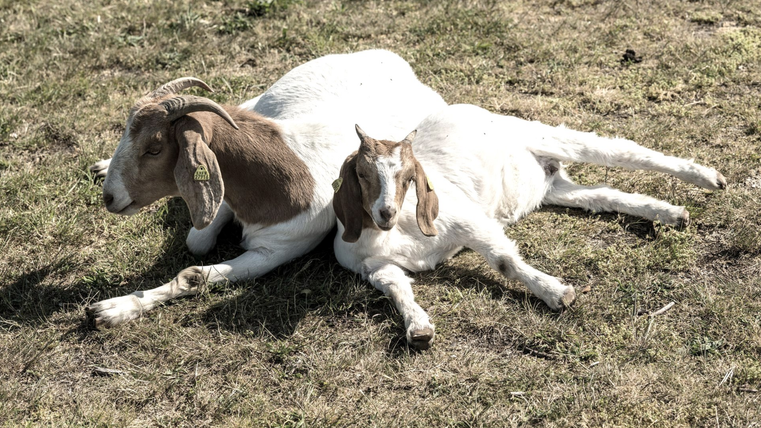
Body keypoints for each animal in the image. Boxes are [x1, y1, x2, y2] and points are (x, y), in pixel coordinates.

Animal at [86, 50, 446, 327]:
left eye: (154, 148)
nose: (110, 197)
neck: (286, 175)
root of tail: (392, 59)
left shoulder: (274, 250)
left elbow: (193, 272)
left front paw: (112, 309)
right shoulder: (225, 196)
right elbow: (197, 241)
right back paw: (99, 166)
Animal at [333, 104, 726, 349]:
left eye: (408, 177)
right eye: (363, 174)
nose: (386, 212)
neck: (390, 234)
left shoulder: (466, 220)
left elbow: (504, 260)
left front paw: (557, 293)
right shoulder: (375, 266)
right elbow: (396, 287)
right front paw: (419, 329)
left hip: (546, 136)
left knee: (622, 152)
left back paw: (710, 178)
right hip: (555, 189)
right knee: (602, 195)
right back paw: (671, 213)